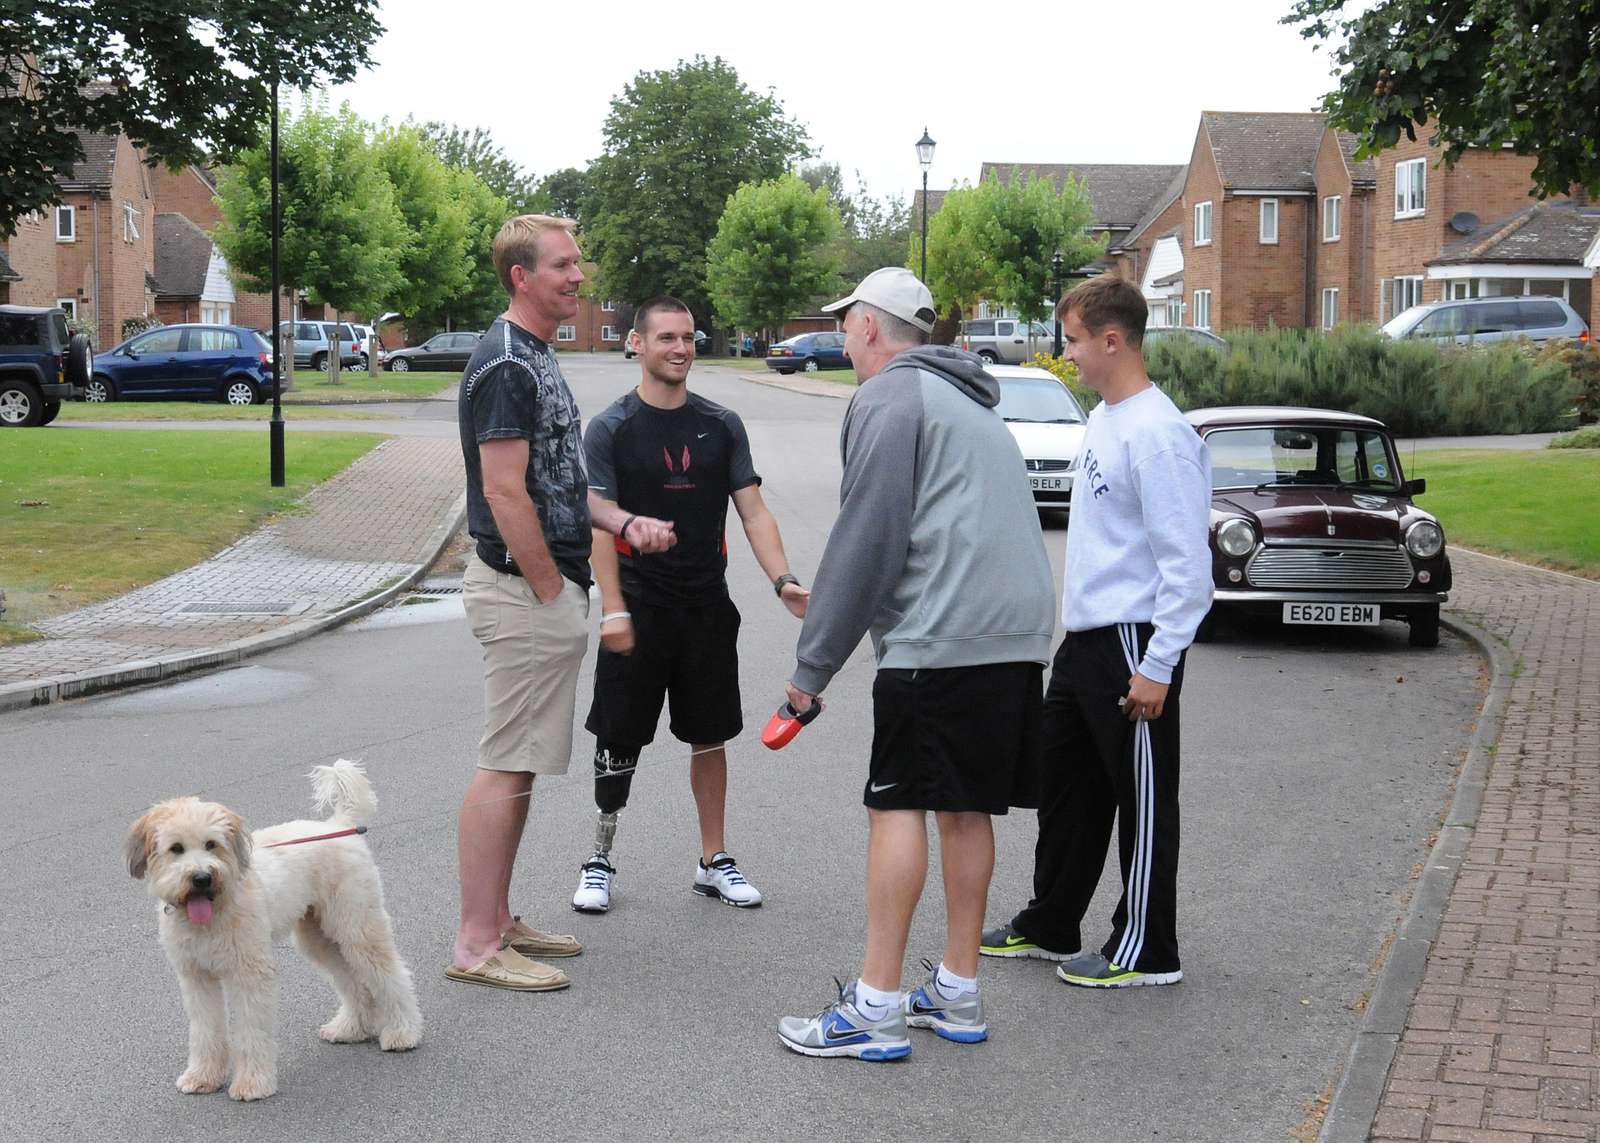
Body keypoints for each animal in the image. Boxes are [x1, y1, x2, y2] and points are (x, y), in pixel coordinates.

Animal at [128, 755, 422, 1094]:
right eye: (176, 848)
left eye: (211, 844)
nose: (201, 878)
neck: (213, 911)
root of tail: (338, 825)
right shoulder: (196, 977)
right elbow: (205, 1031)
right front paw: (203, 1077)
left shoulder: (249, 973)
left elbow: (250, 1030)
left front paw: (252, 1084)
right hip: (319, 938)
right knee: (351, 981)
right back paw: (350, 1028)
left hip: (357, 925)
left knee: (391, 975)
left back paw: (403, 1032)